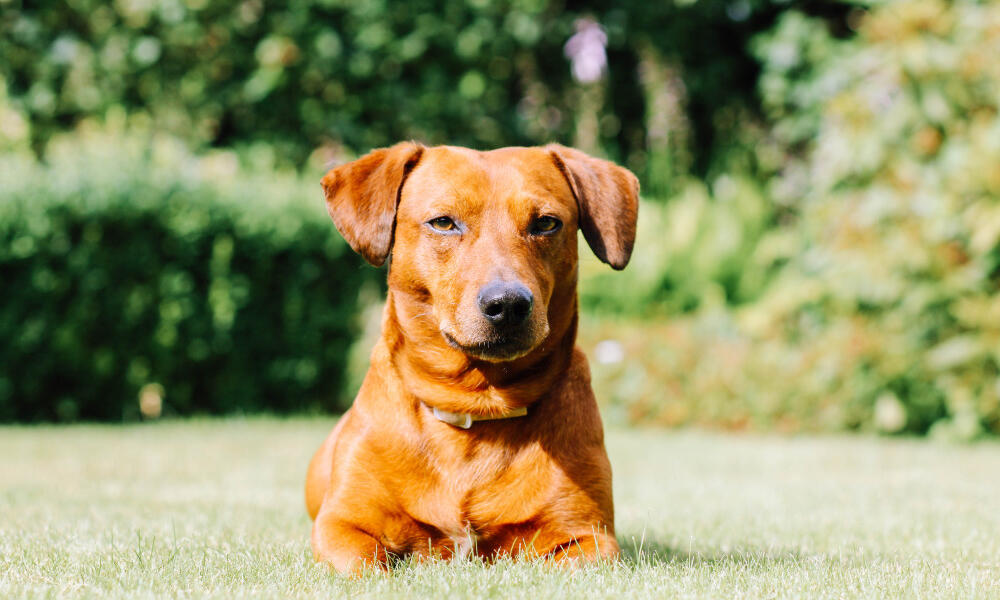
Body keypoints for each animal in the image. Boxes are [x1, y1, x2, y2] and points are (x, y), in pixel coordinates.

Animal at [300, 143, 636, 576]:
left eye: (546, 223)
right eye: (443, 223)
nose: (507, 304)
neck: (476, 407)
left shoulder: (588, 537)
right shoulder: (341, 525)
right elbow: (365, 564)